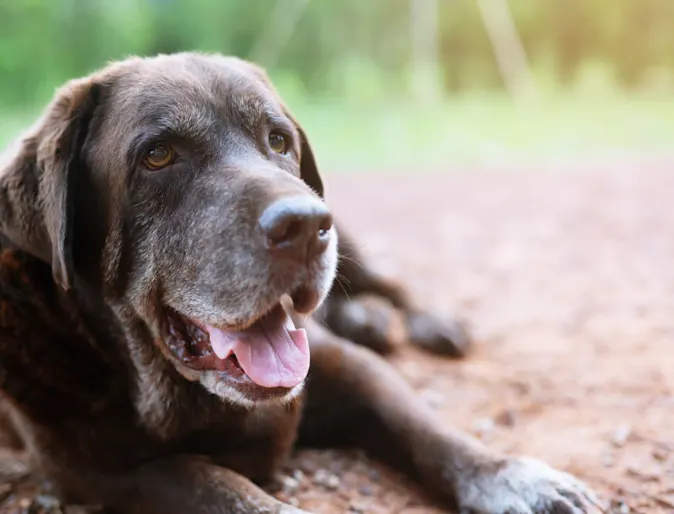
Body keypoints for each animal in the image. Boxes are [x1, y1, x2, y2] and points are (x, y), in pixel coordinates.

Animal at [0, 54, 600, 510]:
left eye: (278, 140)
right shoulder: (97, 471)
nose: (307, 225)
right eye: (158, 155)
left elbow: (425, 427)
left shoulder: (347, 369)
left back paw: (425, 322)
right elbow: (209, 482)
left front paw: (518, 479)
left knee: (388, 285)